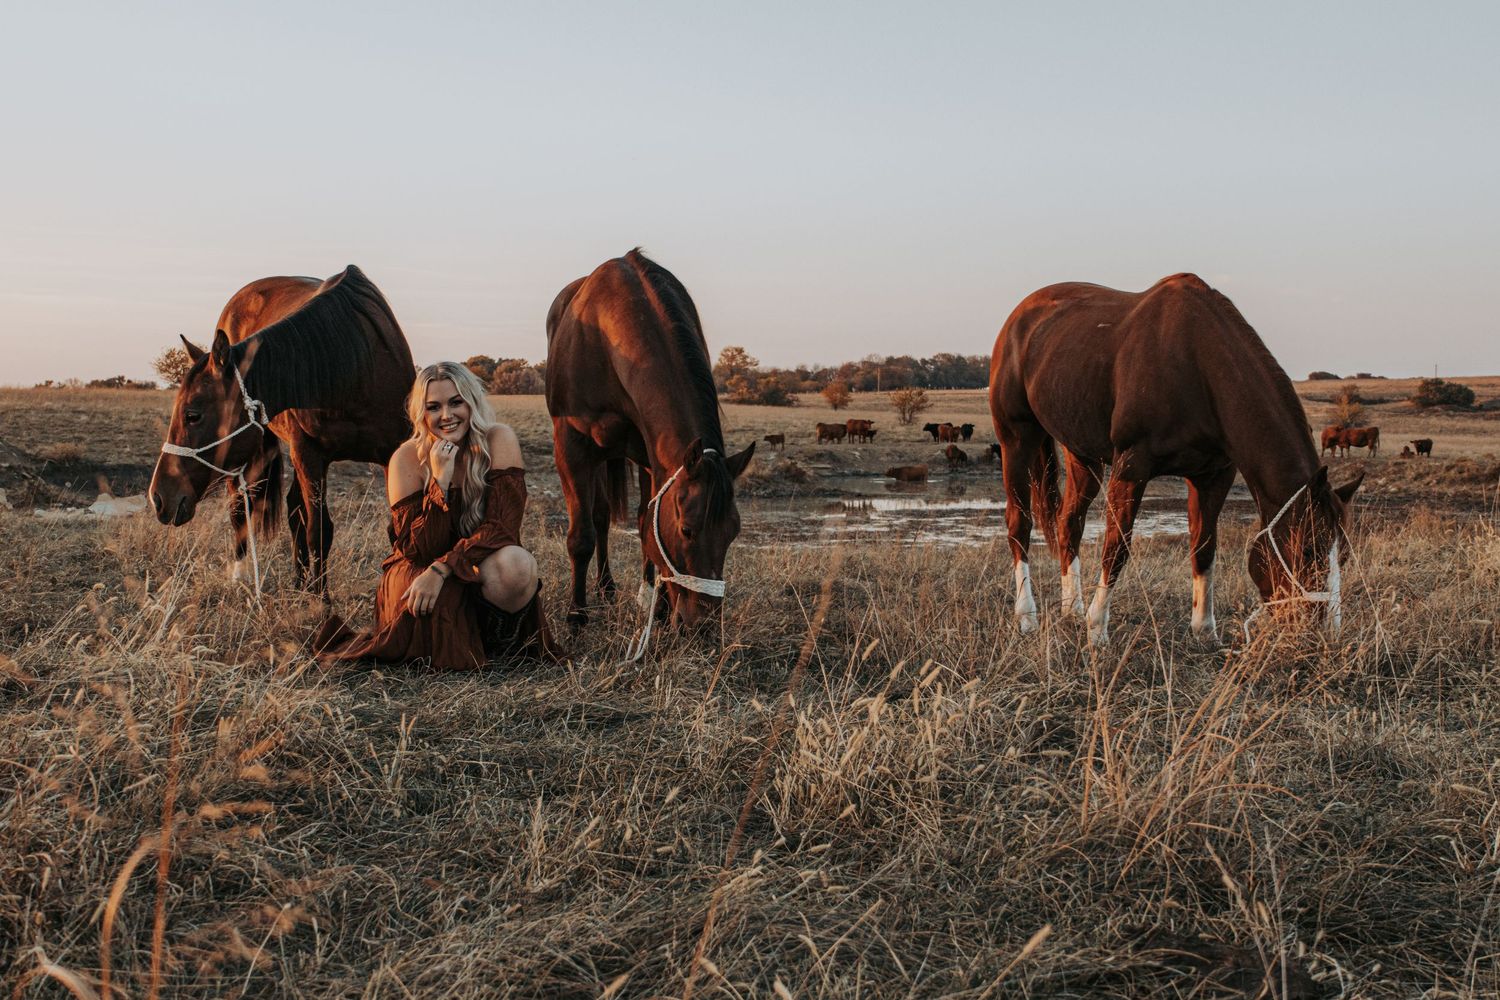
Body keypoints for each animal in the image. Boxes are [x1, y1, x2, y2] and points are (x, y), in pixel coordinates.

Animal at [150, 266, 414, 593]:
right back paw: (242, 576)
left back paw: (298, 582)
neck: (353, 365)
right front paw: (320, 600)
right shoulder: (309, 454)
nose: (158, 498)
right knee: (243, 509)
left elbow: (395, 530)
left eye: (192, 415)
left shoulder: (392, 454)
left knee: (292, 510)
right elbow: (318, 531)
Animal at [545, 250, 755, 630]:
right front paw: (576, 616)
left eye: (733, 532)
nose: (703, 627)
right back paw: (604, 589)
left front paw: (659, 609)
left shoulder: (652, 455)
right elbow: (581, 536)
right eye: (687, 530)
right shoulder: (571, 449)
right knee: (599, 517)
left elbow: (648, 524)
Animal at [990, 273, 1362, 645]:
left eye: (1343, 554)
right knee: (1019, 524)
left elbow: (1204, 545)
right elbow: (1117, 546)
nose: (1326, 632)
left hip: (1083, 456)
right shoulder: (1131, 468)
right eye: (1309, 549)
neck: (1196, 366)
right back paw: (1028, 617)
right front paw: (1098, 631)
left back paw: (1072, 610)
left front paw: (1204, 630)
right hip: (1017, 440)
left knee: (1069, 524)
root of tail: (1018, 319)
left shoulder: (1213, 475)